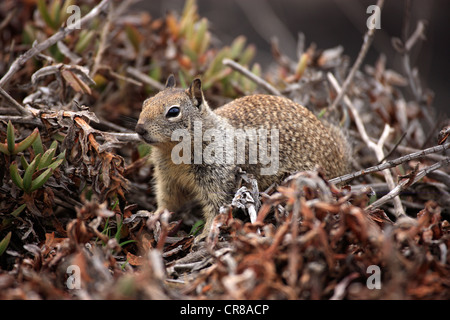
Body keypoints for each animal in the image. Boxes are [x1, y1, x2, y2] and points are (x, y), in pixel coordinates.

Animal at [135, 75, 350, 238]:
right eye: (145, 103)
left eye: (173, 111)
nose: (139, 129)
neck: (175, 153)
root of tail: (340, 160)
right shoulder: (167, 178)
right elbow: (167, 200)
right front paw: (155, 215)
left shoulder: (219, 176)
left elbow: (218, 207)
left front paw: (205, 234)